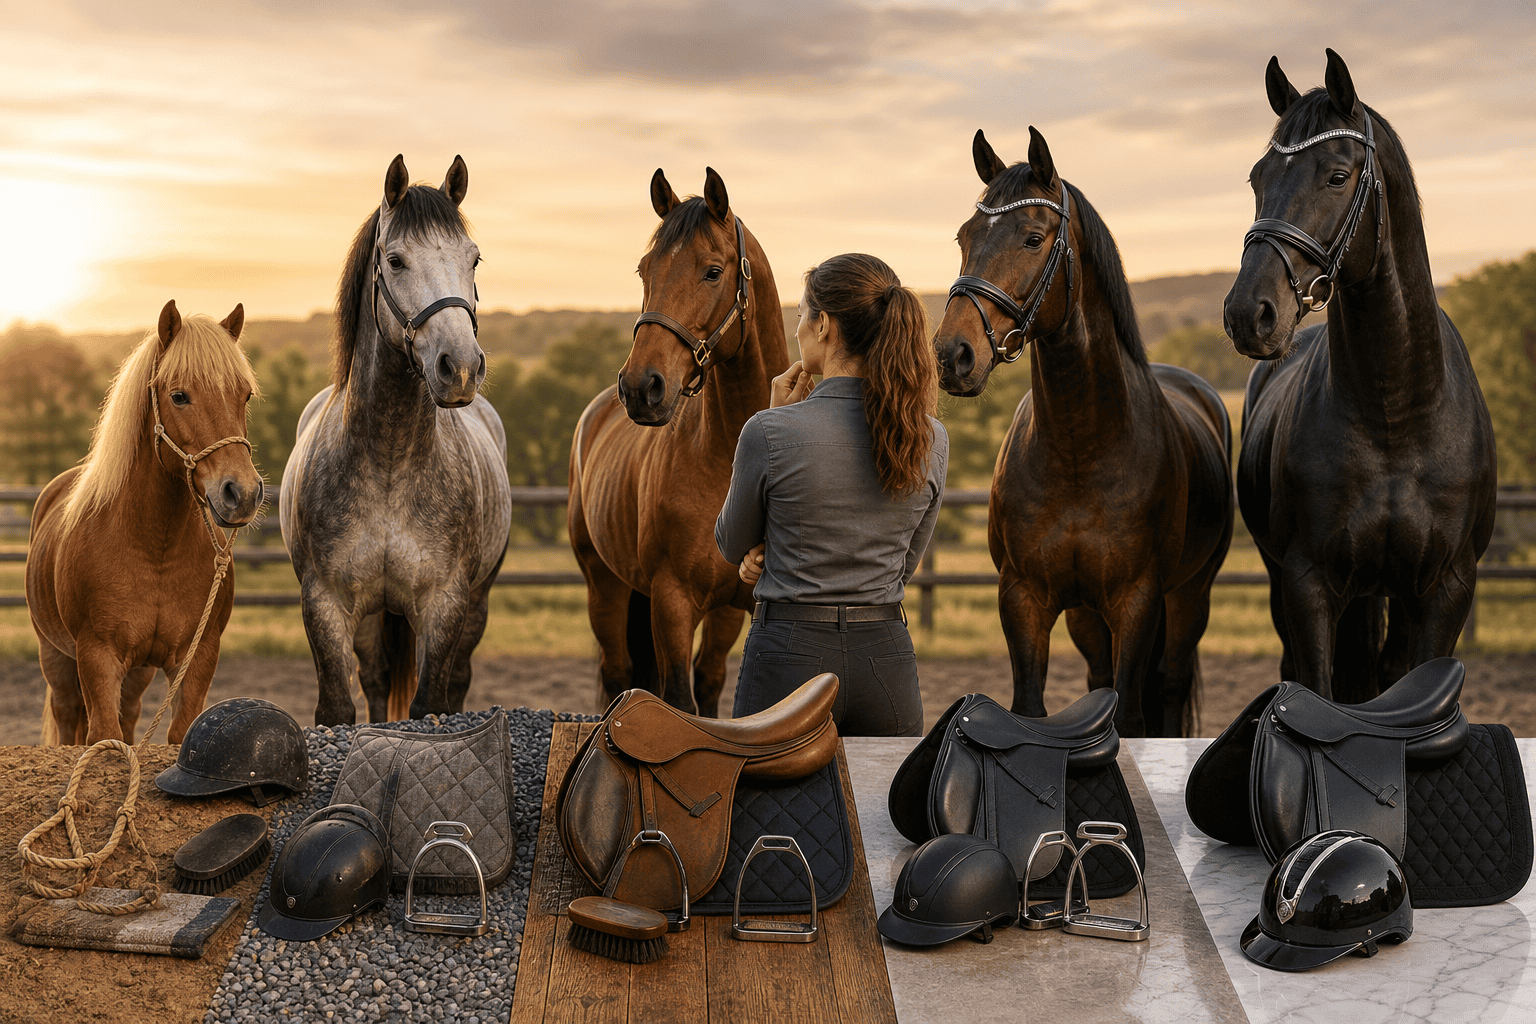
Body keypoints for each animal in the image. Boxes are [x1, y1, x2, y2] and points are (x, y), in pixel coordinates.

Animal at [28, 300, 263, 745]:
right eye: (179, 396)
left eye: (245, 396)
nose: (241, 493)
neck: (156, 548)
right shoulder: (97, 658)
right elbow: (103, 737)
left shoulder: (198, 657)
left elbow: (177, 732)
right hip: (56, 659)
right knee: (67, 718)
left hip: (138, 674)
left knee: (130, 715)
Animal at [280, 154, 512, 725]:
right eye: (396, 260)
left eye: (474, 260)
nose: (461, 367)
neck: (389, 464)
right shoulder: (325, 605)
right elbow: (339, 708)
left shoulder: (446, 604)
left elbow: (431, 701)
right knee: (377, 680)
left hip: (478, 601)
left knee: (458, 680)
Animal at [568, 167, 788, 715]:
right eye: (644, 271)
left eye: (712, 271)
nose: (640, 387)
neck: (726, 459)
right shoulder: (671, 601)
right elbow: (678, 701)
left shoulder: (738, 605)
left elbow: (712, 691)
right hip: (604, 585)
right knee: (618, 671)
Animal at [934, 127, 1235, 737]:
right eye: (965, 236)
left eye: (1033, 238)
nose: (954, 356)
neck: (1080, 451)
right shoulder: (1025, 598)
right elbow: (1031, 708)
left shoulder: (1137, 601)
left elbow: (1132, 713)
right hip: (1085, 614)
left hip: (1189, 596)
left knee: (1168, 687)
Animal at [1223, 50, 1496, 703]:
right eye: (1258, 179)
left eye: (1337, 176)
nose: (1248, 313)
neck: (1395, 411)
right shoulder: (1308, 584)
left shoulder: (1446, 590)